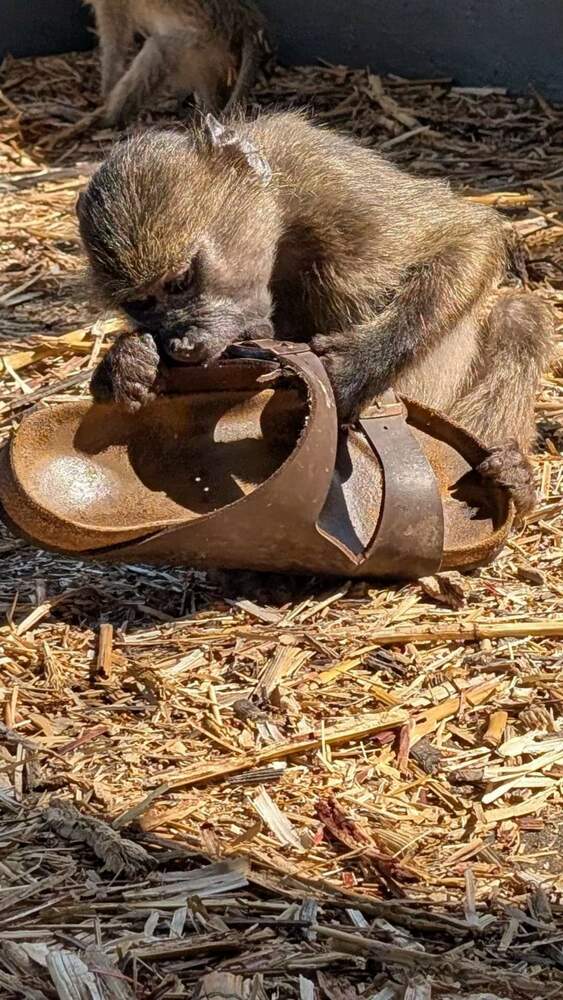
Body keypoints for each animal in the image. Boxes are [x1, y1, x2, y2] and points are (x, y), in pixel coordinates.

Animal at [77, 111, 554, 516]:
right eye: (141, 305)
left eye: (180, 281)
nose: (181, 345)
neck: (284, 226)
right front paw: (127, 363)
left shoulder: (331, 180)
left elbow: (469, 236)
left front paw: (353, 371)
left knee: (519, 315)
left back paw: (512, 479)